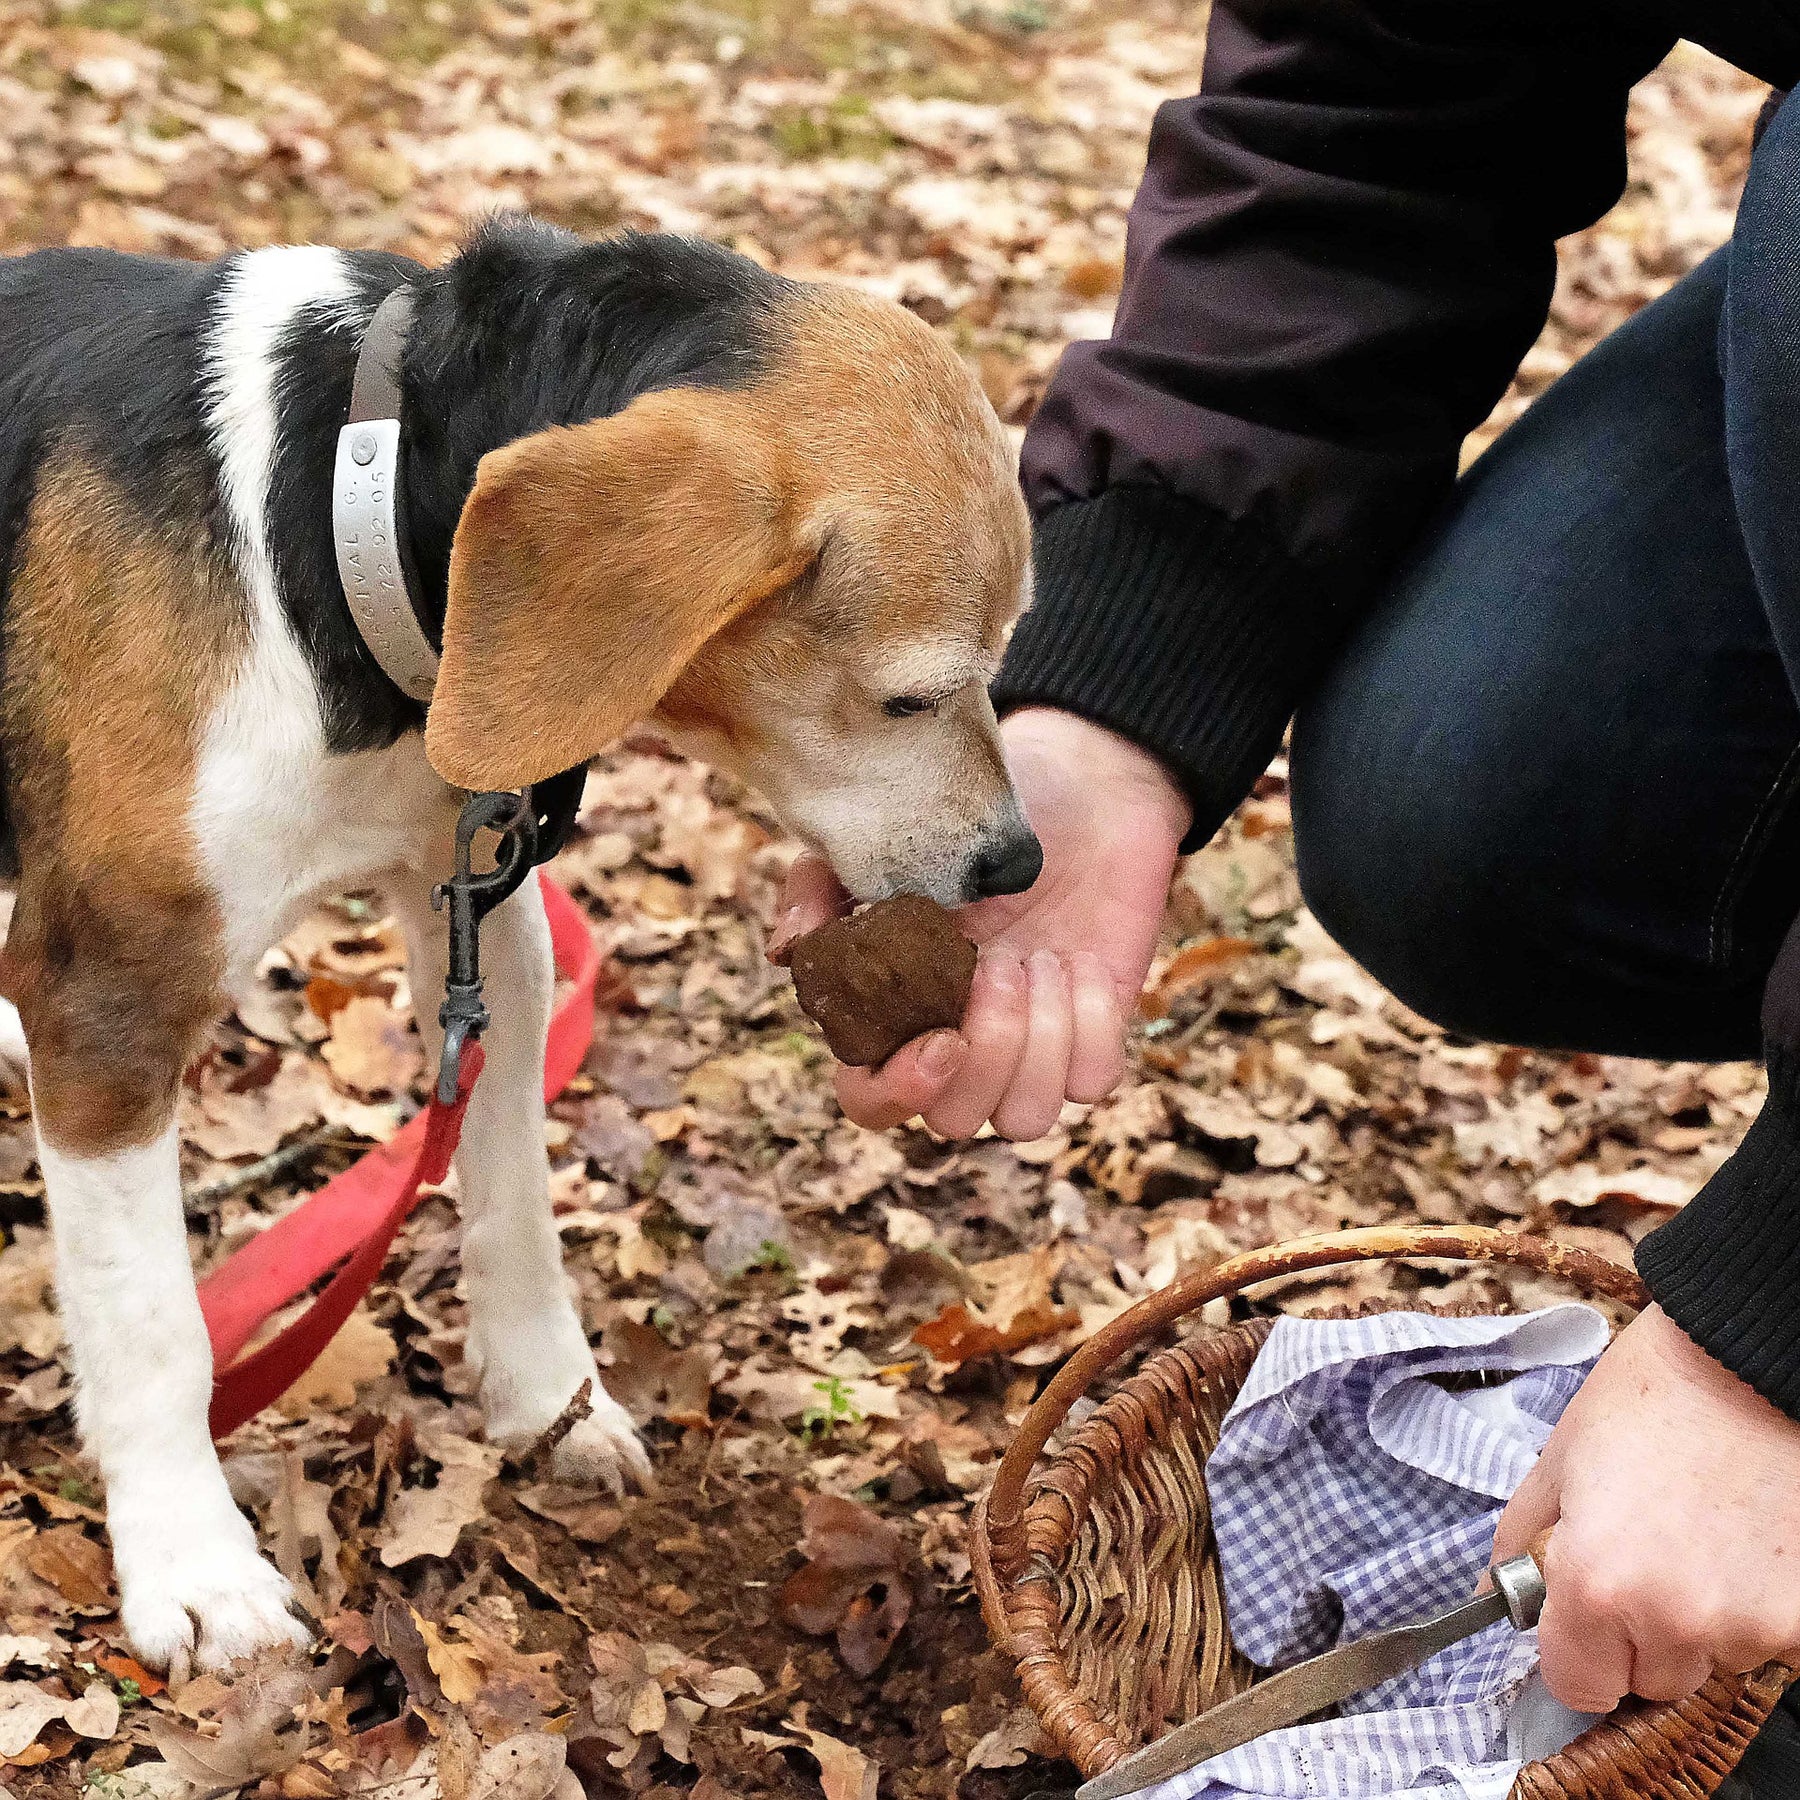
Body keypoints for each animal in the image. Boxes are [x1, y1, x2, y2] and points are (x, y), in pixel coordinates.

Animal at [0, 217, 1044, 1677]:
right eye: (911, 696)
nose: (1021, 864)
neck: (338, 501)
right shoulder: (113, 995)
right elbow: (154, 1324)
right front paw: (193, 1565)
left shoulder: (481, 919)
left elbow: (513, 1200)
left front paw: (548, 1398)